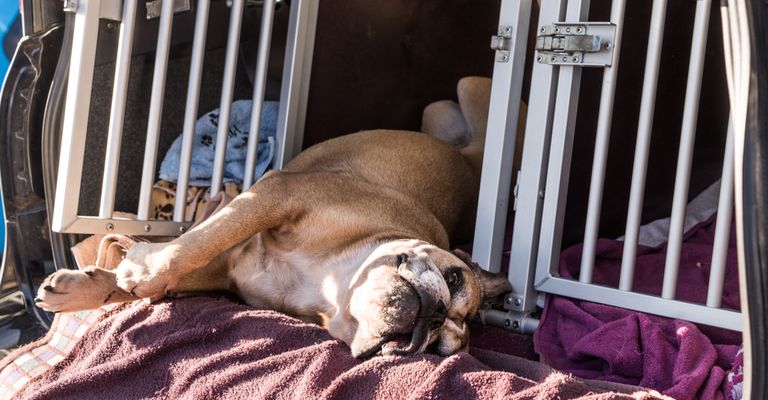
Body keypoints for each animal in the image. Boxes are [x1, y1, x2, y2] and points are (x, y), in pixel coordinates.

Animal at [37, 77, 516, 356]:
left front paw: (95, 286)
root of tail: (472, 159)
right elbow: (195, 244)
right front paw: (131, 270)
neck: (334, 284)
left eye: (438, 350)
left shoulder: (228, 270)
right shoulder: (275, 195)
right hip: (463, 90)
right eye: (454, 278)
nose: (434, 318)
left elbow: (161, 278)